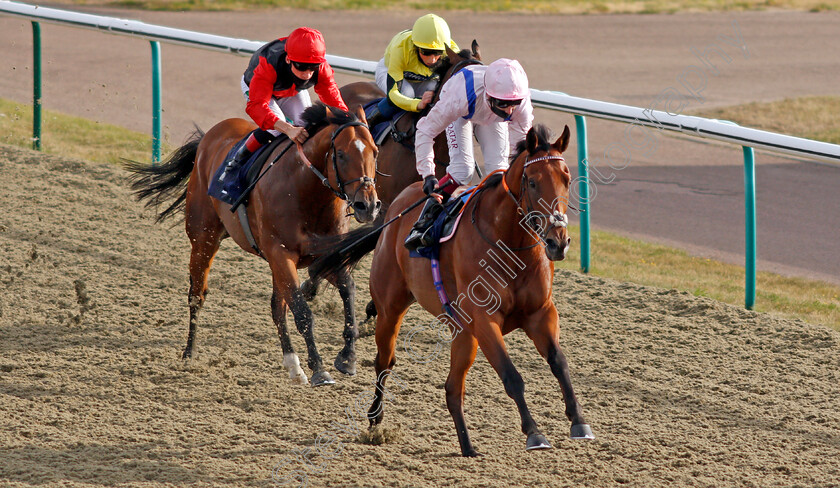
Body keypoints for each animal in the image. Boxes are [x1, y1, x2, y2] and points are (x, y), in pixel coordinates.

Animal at [128, 105, 380, 386]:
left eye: (375, 152)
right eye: (341, 154)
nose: (368, 206)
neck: (306, 191)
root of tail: (209, 136)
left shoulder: (324, 255)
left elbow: (347, 290)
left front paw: (347, 357)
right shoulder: (281, 254)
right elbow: (302, 311)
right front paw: (319, 369)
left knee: (277, 308)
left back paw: (293, 365)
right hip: (203, 239)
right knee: (197, 295)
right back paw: (189, 353)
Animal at [308, 124, 592, 456]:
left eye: (567, 179)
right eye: (532, 182)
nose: (558, 242)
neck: (509, 243)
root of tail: (395, 209)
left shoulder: (540, 313)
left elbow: (560, 363)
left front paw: (579, 421)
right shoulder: (485, 319)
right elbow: (512, 376)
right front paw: (534, 433)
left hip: (463, 332)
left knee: (452, 387)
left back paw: (467, 446)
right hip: (392, 308)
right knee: (385, 361)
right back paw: (375, 419)